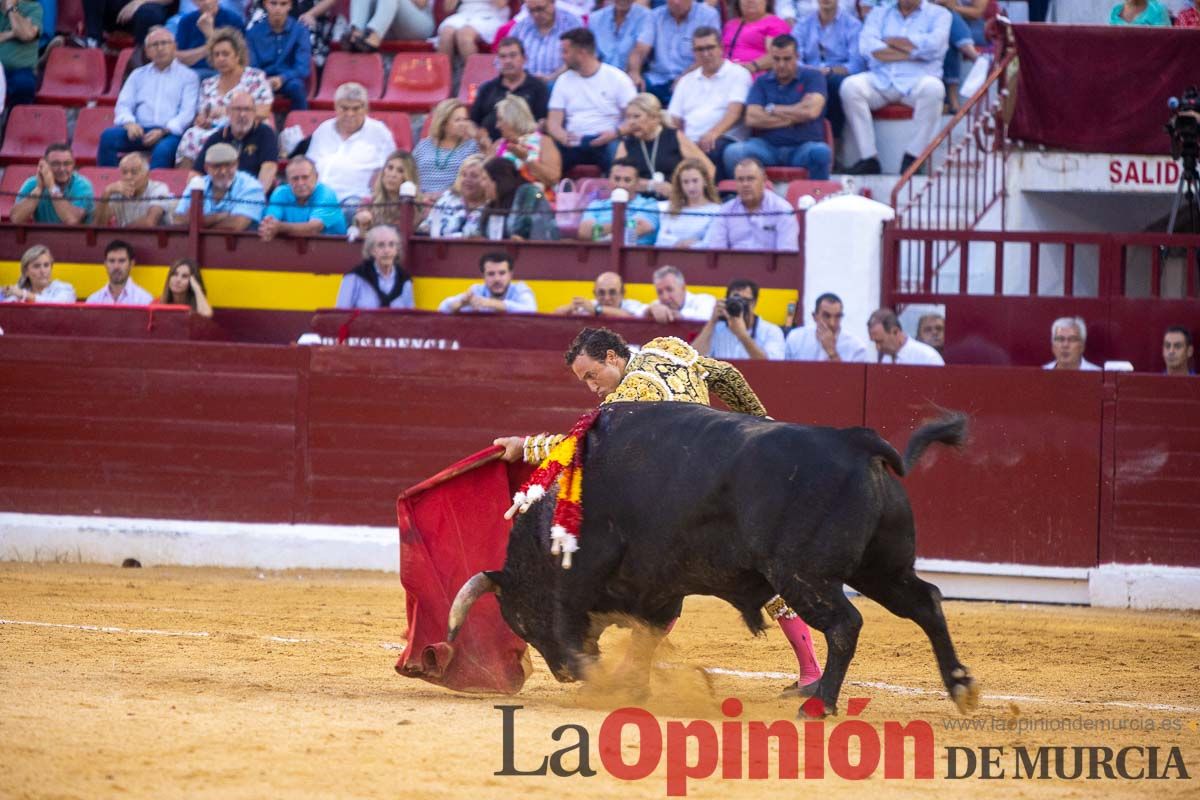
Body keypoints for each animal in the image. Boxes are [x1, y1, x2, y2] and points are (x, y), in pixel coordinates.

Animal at [446, 402, 979, 714]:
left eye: (521, 621)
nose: (558, 673)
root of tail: (853, 439)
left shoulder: (582, 580)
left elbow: (574, 628)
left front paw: (599, 683)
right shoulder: (657, 589)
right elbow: (646, 639)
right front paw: (630, 689)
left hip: (804, 574)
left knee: (846, 624)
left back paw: (821, 704)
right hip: (881, 569)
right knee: (926, 602)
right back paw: (959, 686)